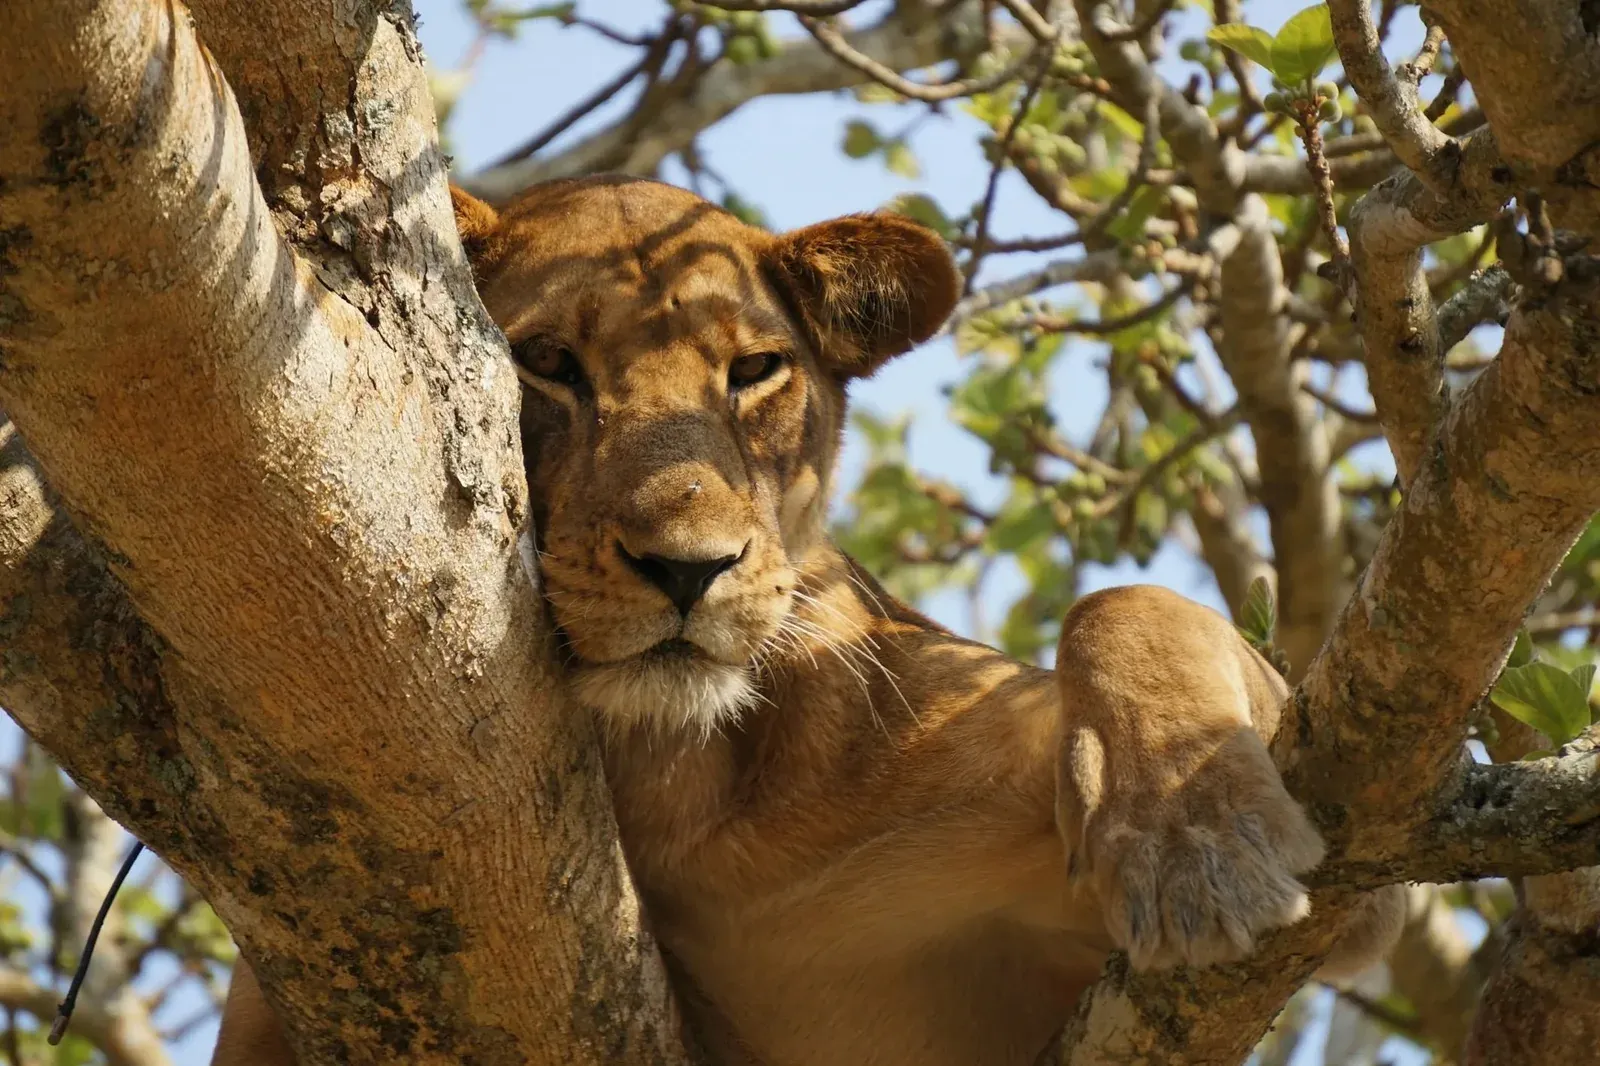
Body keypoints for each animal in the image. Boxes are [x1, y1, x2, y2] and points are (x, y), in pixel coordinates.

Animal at [210, 176, 1403, 1066]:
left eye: (753, 369)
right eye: (546, 364)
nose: (687, 569)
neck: (679, 784)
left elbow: (1127, 604)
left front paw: (1194, 836)